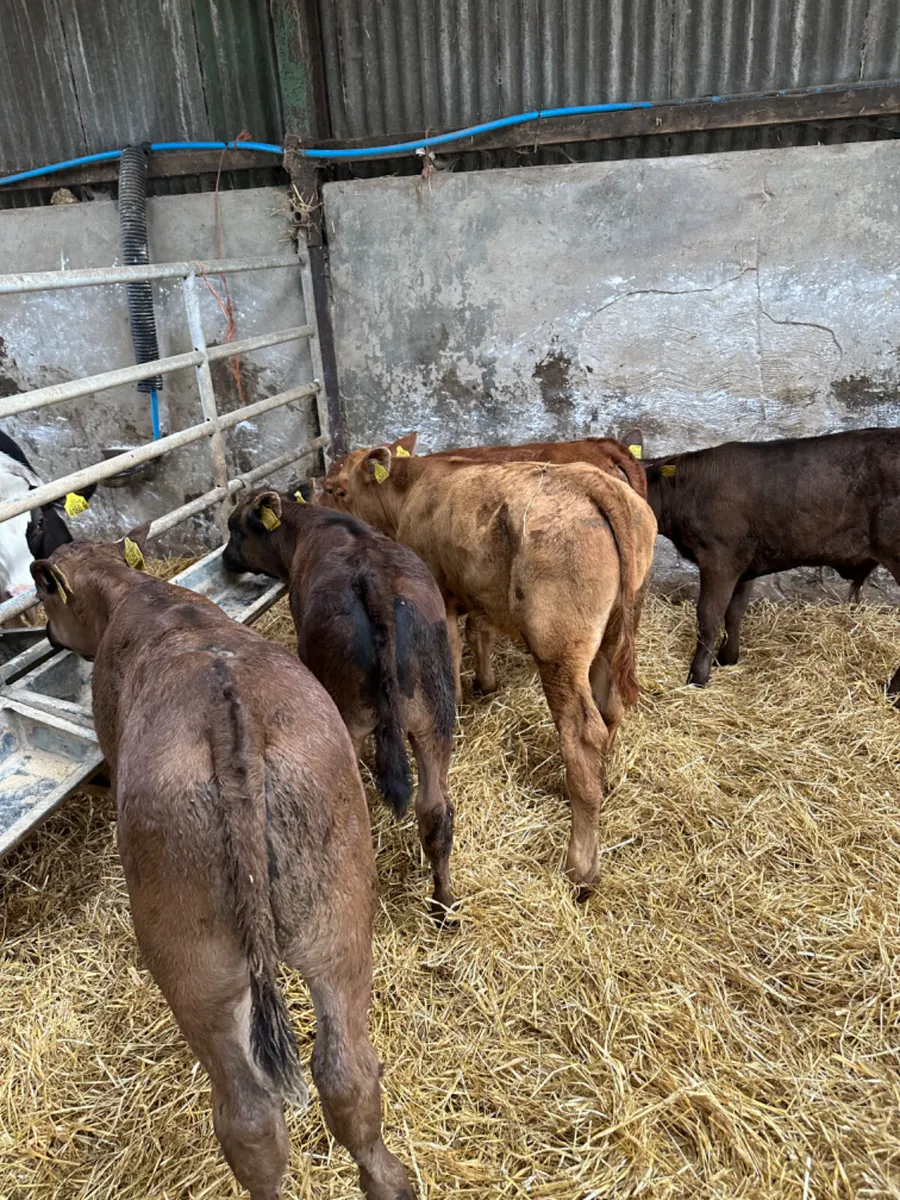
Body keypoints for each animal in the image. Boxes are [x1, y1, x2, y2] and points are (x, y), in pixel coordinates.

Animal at [30, 535, 411, 1200]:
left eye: (49, 598)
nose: (50, 638)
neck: (134, 593)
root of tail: (226, 712)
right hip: (339, 918)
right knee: (348, 1073)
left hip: (193, 963)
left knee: (250, 1116)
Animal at [223, 488, 457, 920]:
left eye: (236, 528)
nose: (226, 559)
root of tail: (374, 586)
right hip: (435, 717)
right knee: (435, 810)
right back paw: (443, 904)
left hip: (348, 719)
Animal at [318, 445, 657, 888]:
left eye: (336, 489)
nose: (323, 518)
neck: (413, 488)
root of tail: (590, 480)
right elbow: (481, 631)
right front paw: (486, 683)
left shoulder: (439, 595)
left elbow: (453, 646)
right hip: (616, 632)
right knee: (611, 708)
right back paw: (606, 782)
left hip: (558, 649)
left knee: (583, 734)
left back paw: (580, 865)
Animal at [625, 426, 900, 696]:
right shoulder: (744, 561)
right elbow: (734, 611)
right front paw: (727, 658)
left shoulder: (719, 557)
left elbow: (709, 616)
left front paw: (698, 677)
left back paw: (892, 692)